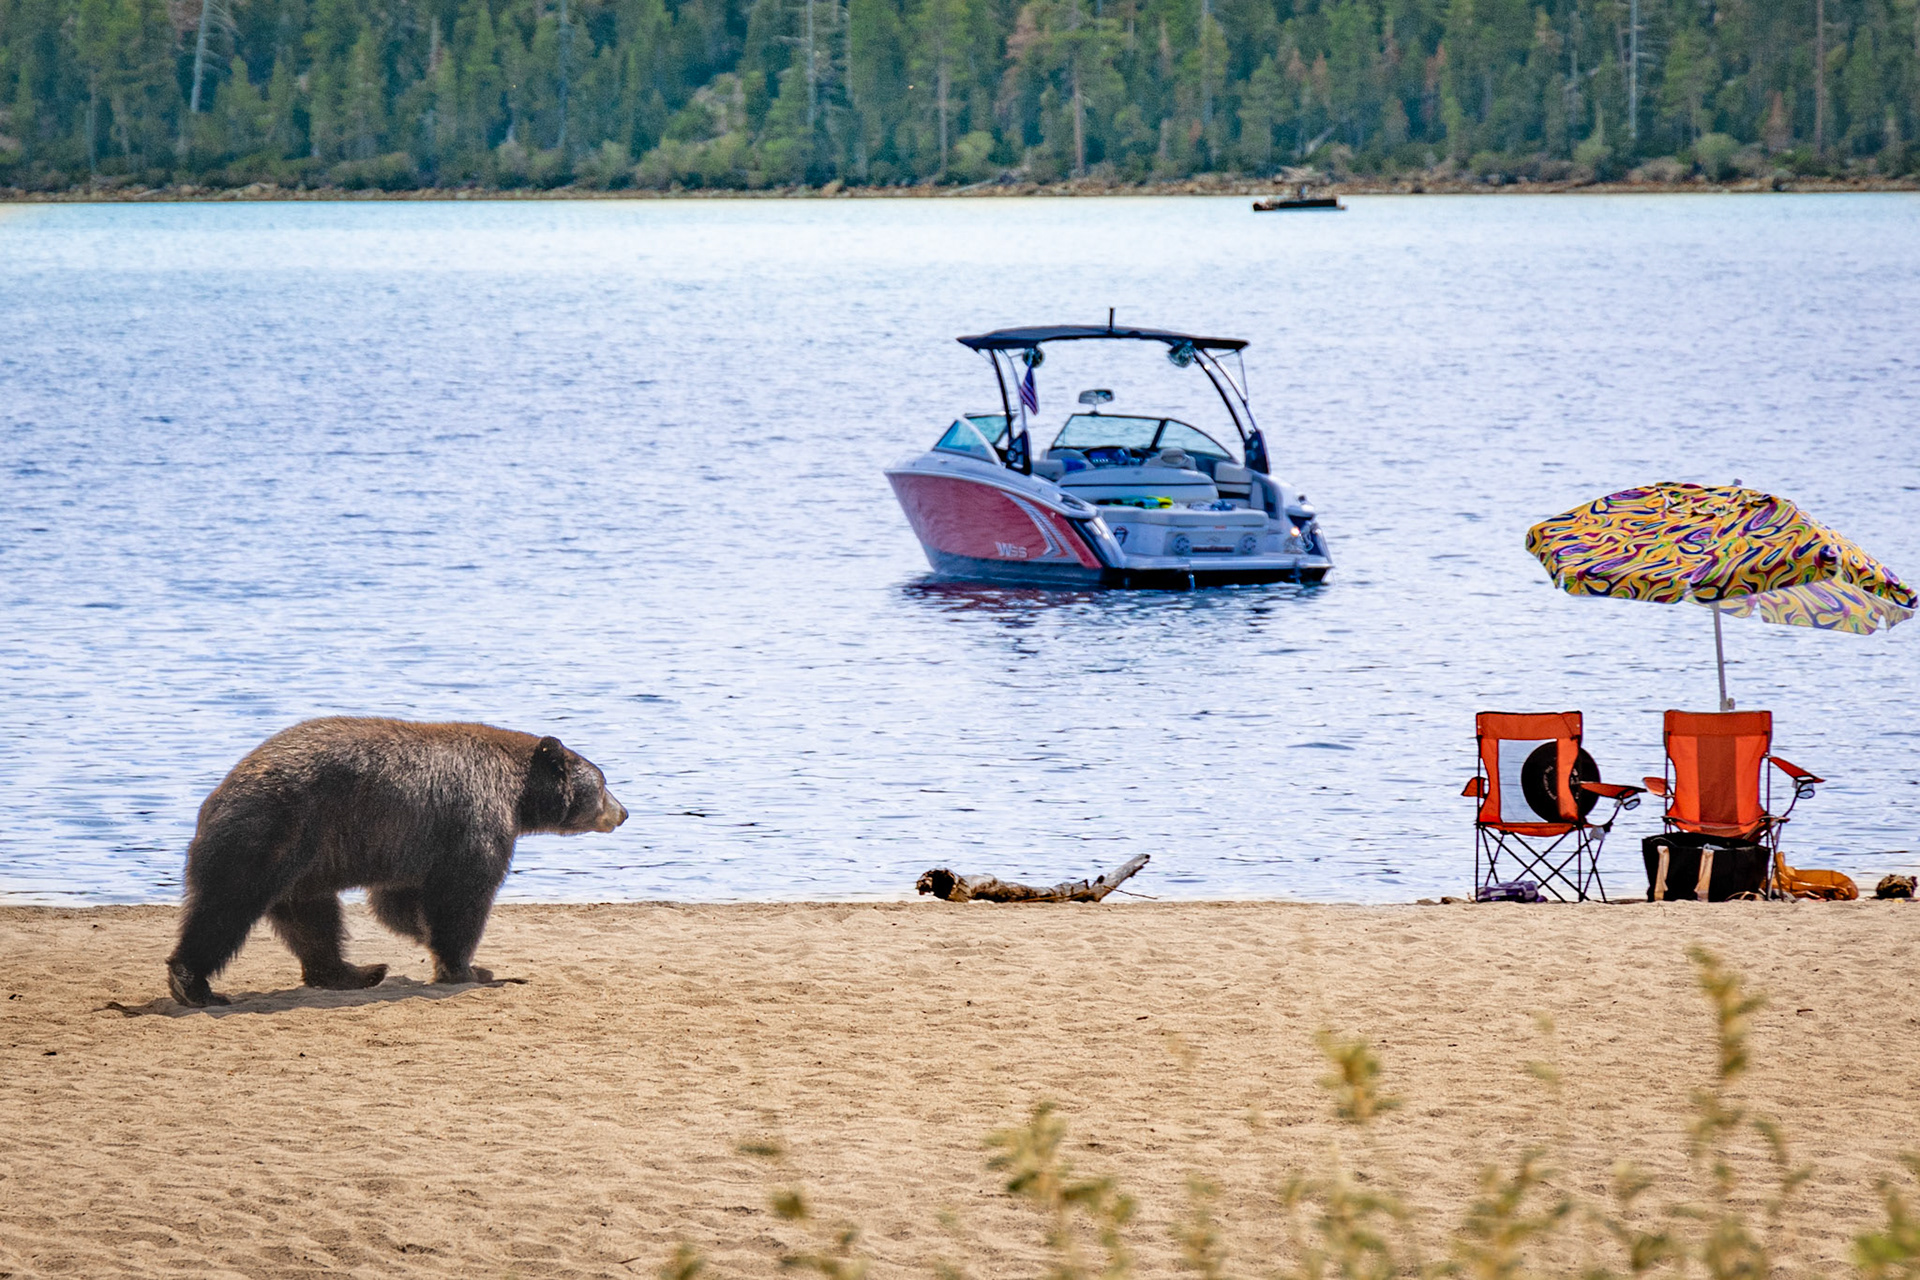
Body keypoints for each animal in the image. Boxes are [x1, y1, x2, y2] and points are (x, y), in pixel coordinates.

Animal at [166, 717, 628, 1007]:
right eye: (604, 782)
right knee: (227, 907)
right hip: (269, 832)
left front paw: (425, 937)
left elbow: (398, 902)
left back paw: (353, 972)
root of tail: (215, 797)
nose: (623, 812)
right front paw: (469, 967)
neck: (518, 794)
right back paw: (193, 984)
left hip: (303, 856)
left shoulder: (412, 843)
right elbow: (463, 896)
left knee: (311, 917)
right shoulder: (474, 819)